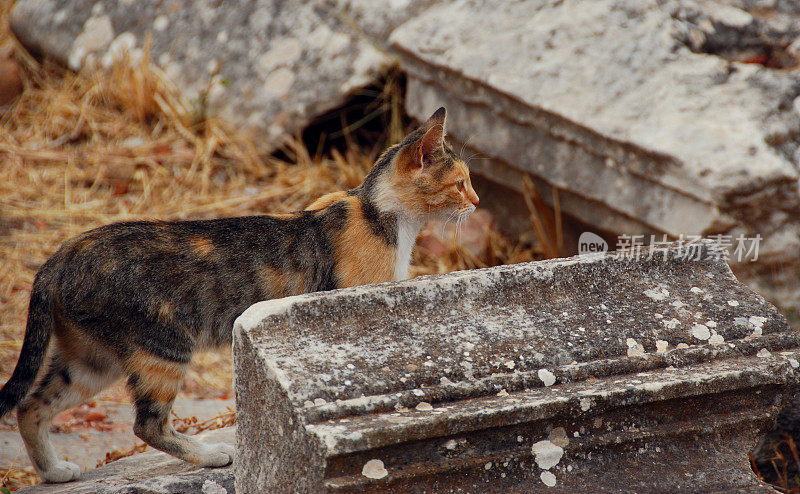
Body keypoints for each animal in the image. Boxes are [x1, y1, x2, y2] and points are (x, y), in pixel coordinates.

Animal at [0, 107, 478, 482]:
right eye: (460, 183)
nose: (475, 202)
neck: (378, 214)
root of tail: (59, 257)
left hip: (91, 361)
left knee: (31, 406)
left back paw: (53, 472)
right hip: (162, 347)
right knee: (147, 426)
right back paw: (213, 456)